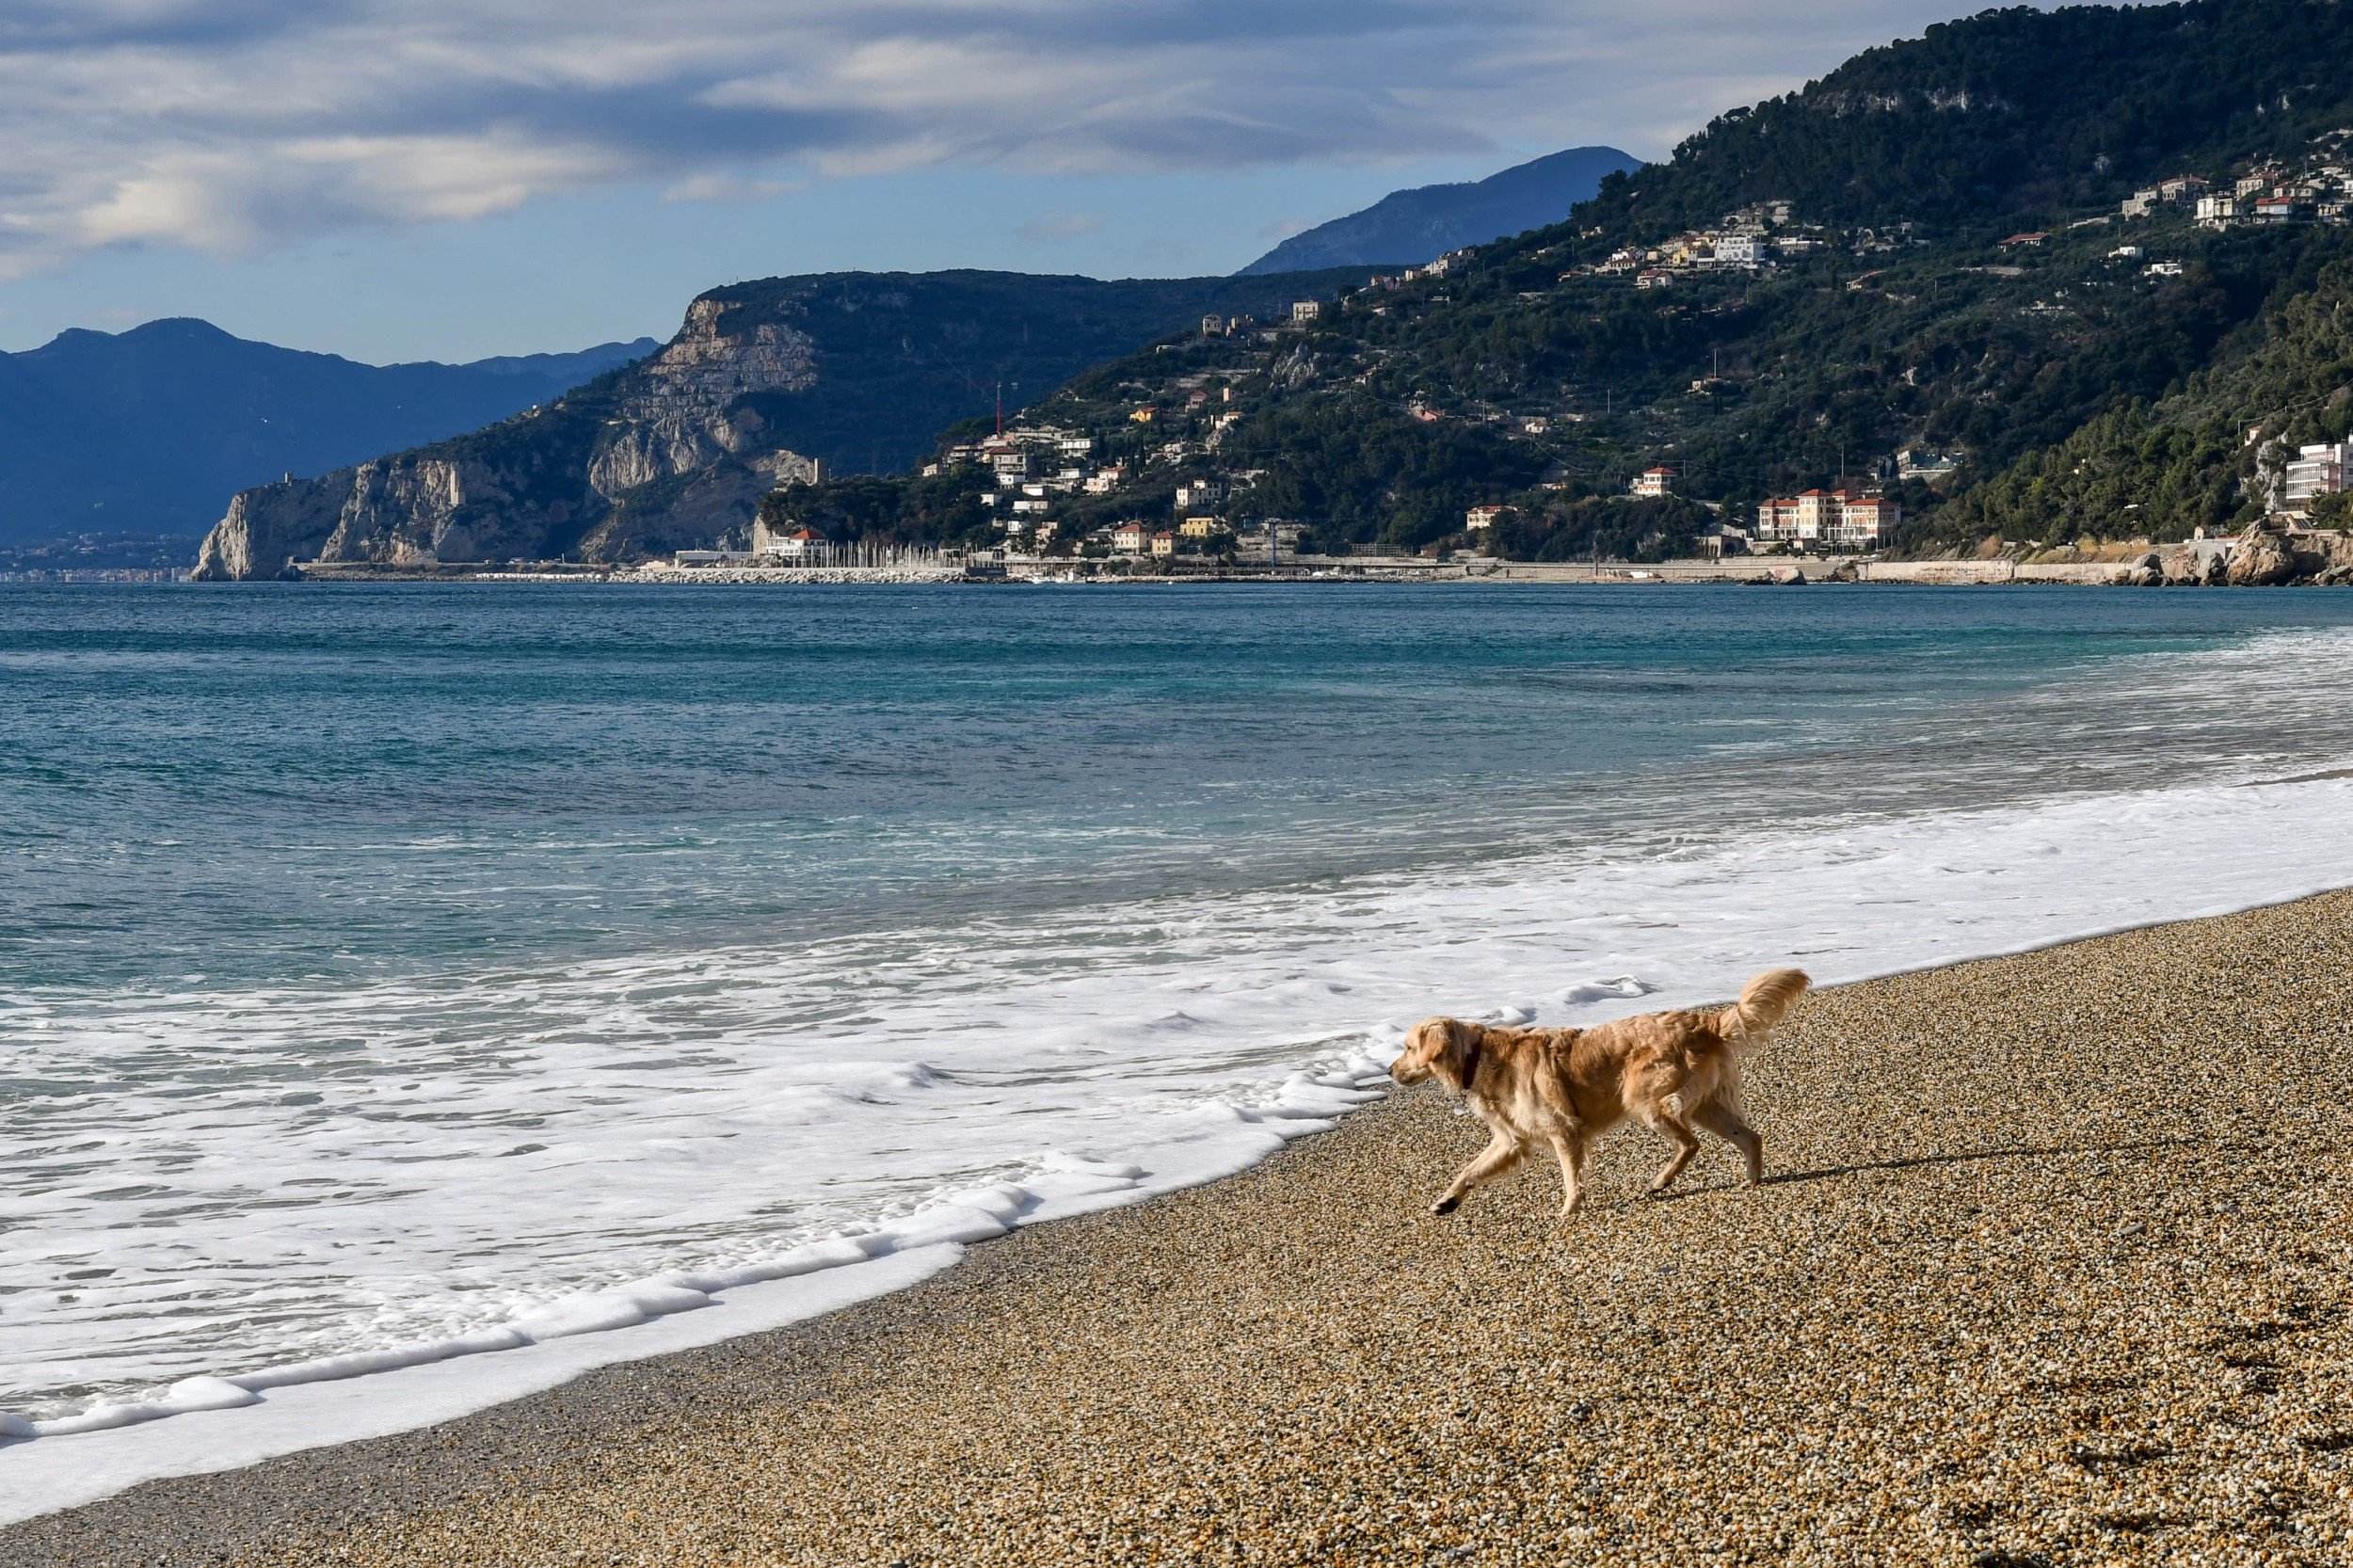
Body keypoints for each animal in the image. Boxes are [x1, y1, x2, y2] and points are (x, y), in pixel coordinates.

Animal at [1384, 965, 1807, 1205]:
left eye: (1407, 1047)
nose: (1388, 1070)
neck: (1479, 1056)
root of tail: (1706, 1022)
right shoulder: (1510, 1142)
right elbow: (1469, 1170)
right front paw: (1447, 1200)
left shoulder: (1564, 1130)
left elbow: (1572, 1179)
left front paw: (1568, 1211)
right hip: (1709, 1105)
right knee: (1749, 1136)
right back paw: (1751, 1181)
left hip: (1643, 1095)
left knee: (1689, 1143)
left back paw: (1661, 1181)